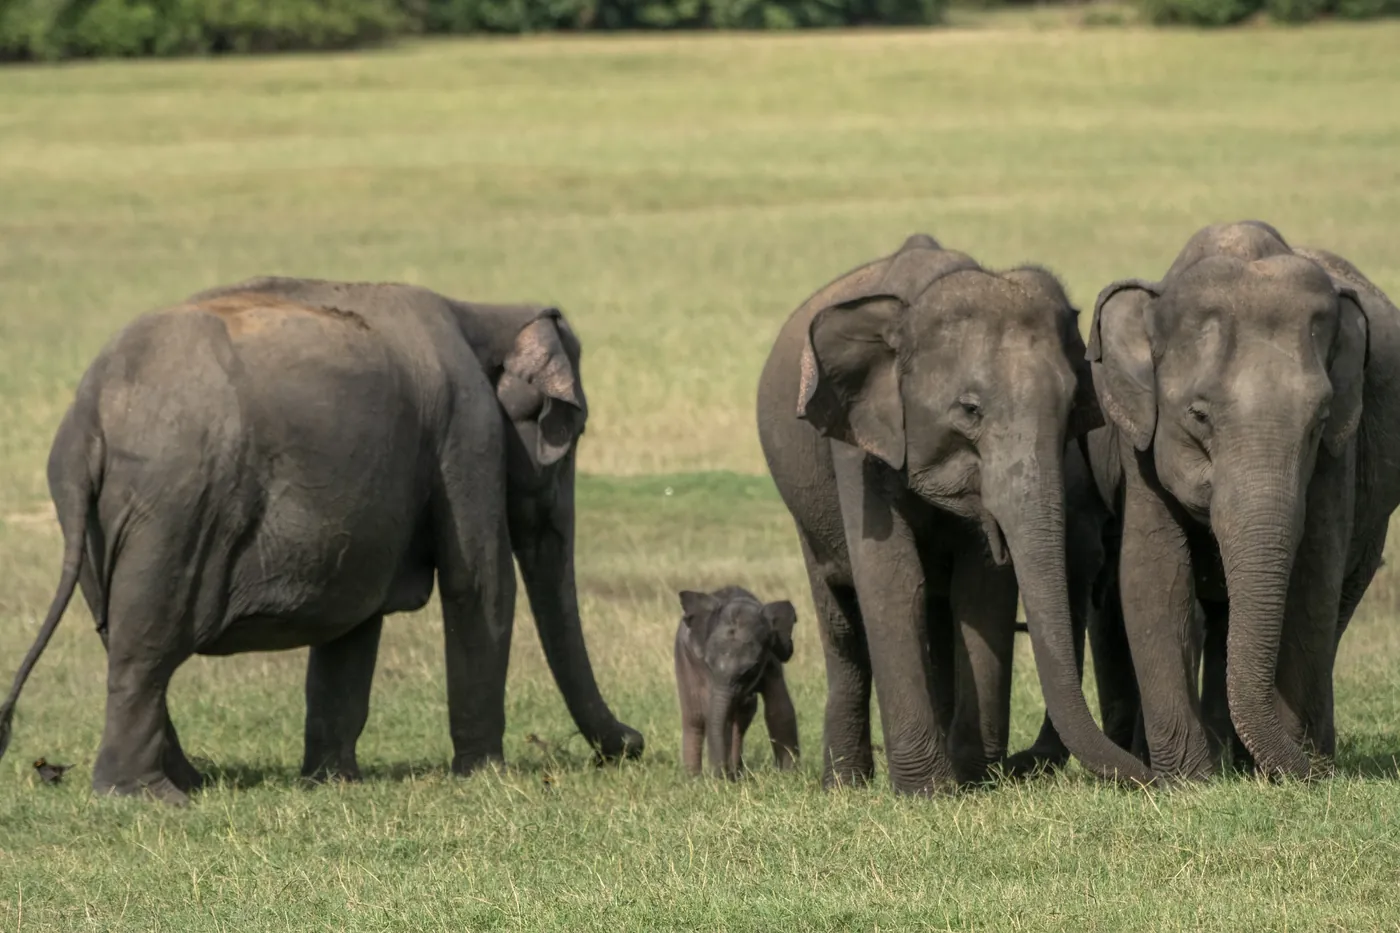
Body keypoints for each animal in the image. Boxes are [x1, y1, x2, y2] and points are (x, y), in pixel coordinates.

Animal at [0, 276, 642, 805]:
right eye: (571, 432)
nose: (632, 743)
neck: (482, 309)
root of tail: (88, 419)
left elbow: (352, 621)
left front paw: (334, 783)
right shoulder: (468, 427)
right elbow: (480, 583)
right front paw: (485, 776)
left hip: (97, 525)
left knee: (120, 636)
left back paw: (189, 782)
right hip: (173, 509)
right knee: (146, 647)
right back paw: (150, 798)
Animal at [673, 586, 799, 779]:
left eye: (751, 669)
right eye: (708, 664)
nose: (719, 775)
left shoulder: (772, 660)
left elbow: (779, 710)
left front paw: (789, 777)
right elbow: (712, 713)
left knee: (742, 717)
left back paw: (736, 774)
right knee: (695, 717)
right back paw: (694, 779)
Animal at [756, 233, 1153, 794]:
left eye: (1072, 408)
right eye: (970, 410)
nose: (1149, 778)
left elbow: (982, 588)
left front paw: (972, 780)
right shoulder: (860, 442)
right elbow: (894, 583)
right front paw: (926, 792)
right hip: (805, 512)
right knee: (842, 624)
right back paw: (844, 785)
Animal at [1084, 220, 1400, 780]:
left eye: (1319, 420)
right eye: (1198, 415)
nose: (1311, 773)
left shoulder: (1340, 447)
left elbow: (1313, 579)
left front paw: (1291, 771)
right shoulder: (1138, 443)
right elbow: (1154, 575)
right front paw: (1188, 781)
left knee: (1335, 604)